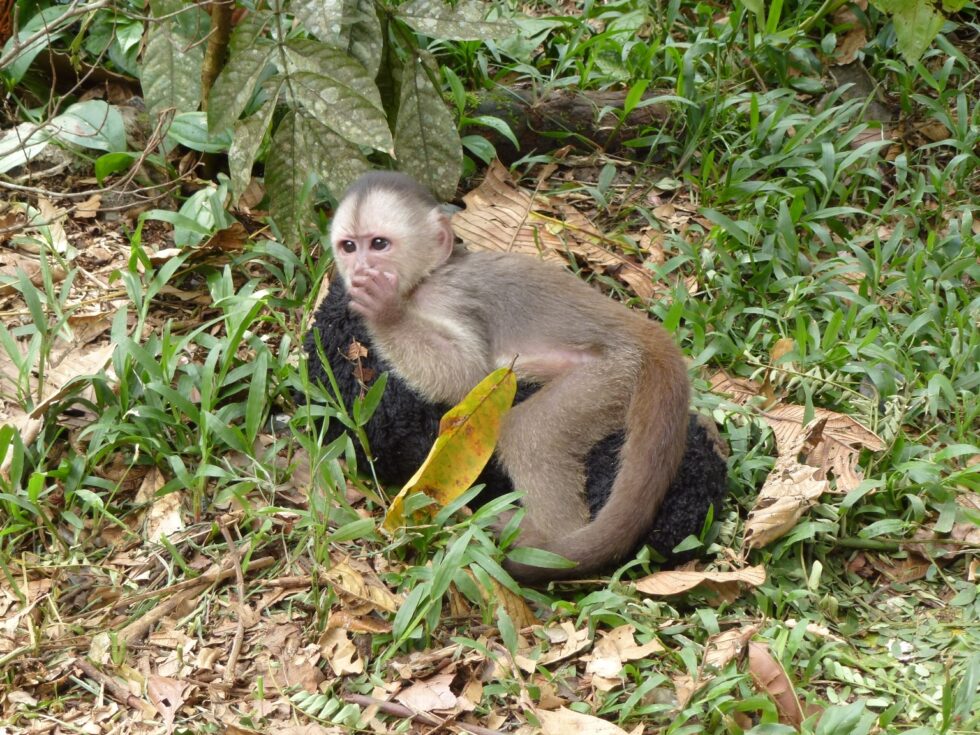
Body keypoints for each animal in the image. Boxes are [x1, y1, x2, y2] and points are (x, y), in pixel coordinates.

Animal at [330, 171, 690, 583]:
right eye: (348, 246)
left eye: (378, 244)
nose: (359, 269)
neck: (429, 276)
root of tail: (641, 329)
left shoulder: (449, 295)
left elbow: (469, 372)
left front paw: (386, 313)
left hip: (614, 372)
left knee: (528, 432)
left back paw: (546, 540)